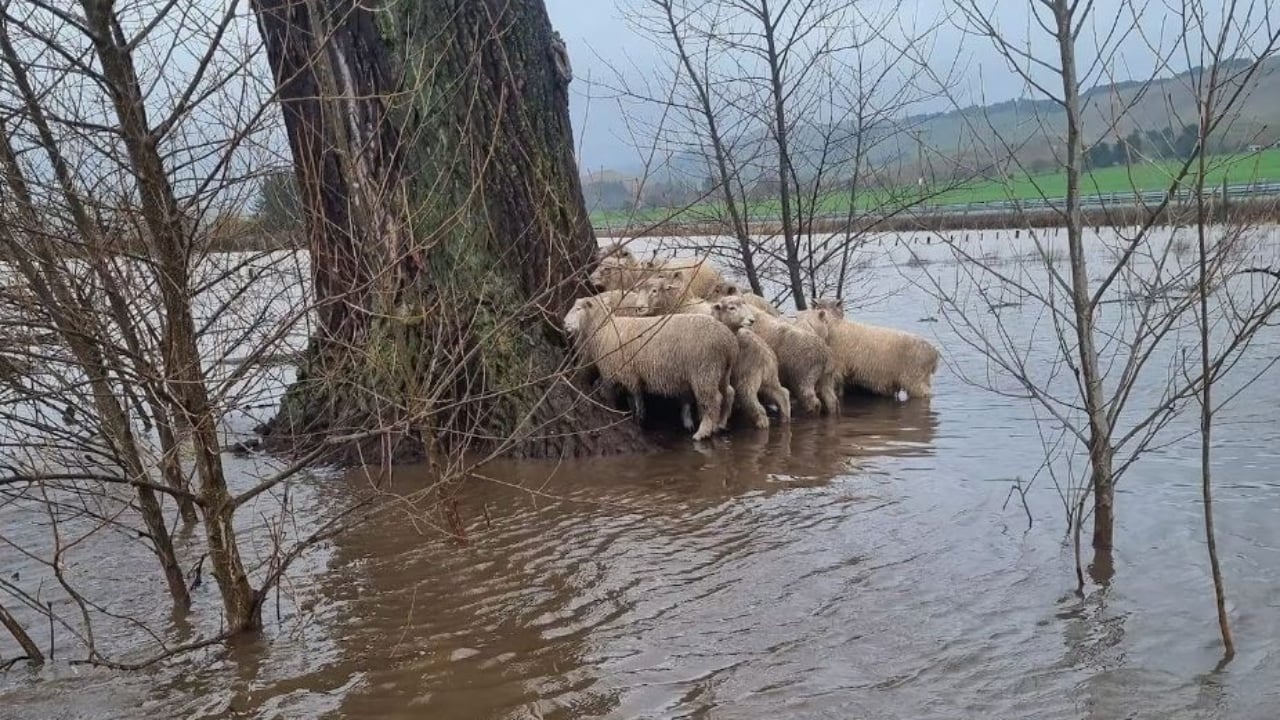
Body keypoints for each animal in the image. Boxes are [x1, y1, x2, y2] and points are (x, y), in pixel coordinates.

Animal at [563, 294, 737, 440]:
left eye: (578, 309)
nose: (564, 323)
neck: (605, 331)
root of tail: (728, 340)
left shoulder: (622, 374)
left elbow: (627, 398)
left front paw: (638, 418)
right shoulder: (631, 376)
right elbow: (632, 398)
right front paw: (636, 417)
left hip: (704, 370)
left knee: (713, 399)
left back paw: (703, 432)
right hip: (721, 371)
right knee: (728, 392)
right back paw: (720, 424)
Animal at [711, 297, 788, 425]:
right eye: (731, 308)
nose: (752, 320)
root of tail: (766, 358)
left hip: (747, 380)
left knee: (758, 408)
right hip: (770, 379)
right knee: (783, 394)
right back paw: (784, 419)